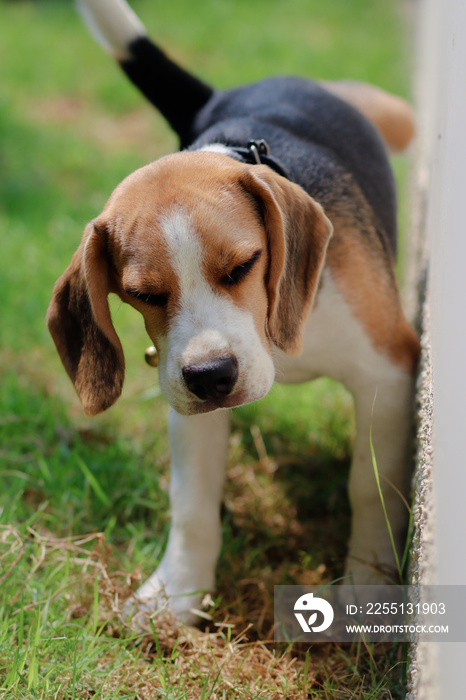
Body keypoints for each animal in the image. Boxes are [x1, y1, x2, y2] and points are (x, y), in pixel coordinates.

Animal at [46, 0, 418, 624]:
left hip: (398, 115)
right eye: (144, 295)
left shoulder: (387, 373)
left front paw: (367, 586)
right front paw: (175, 597)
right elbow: (193, 505)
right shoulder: (185, 394)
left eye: (243, 265)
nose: (212, 377)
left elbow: (370, 486)